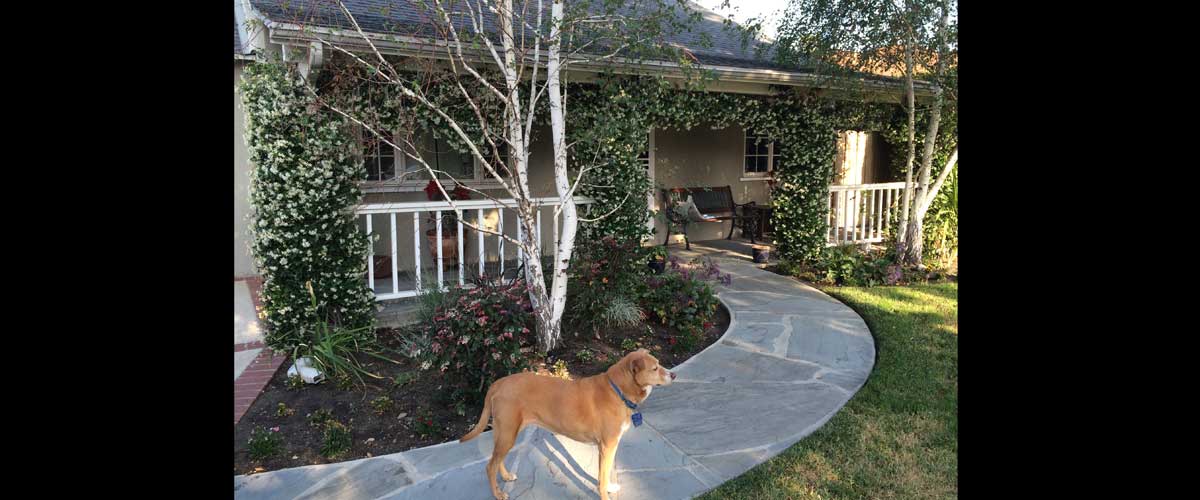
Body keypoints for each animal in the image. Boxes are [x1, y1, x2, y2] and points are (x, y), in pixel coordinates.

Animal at [458, 347, 676, 496]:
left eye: (659, 363)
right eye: (655, 368)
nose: (674, 374)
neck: (618, 390)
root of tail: (498, 383)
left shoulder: (608, 446)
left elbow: (604, 474)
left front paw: (609, 487)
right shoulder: (607, 446)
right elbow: (603, 475)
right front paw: (604, 493)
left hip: (505, 431)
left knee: (497, 459)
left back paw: (506, 476)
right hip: (508, 433)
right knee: (490, 466)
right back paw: (498, 493)